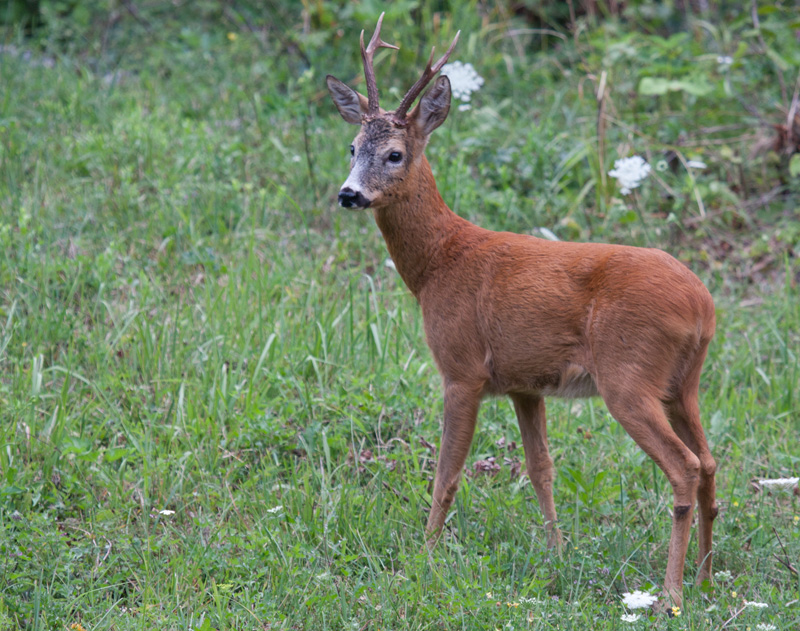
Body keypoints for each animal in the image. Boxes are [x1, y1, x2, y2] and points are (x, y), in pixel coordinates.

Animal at [324, 13, 720, 608]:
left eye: (394, 153)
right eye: (351, 147)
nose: (349, 194)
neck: (438, 264)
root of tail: (702, 304)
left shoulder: (461, 368)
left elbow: (448, 473)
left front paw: (424, 556)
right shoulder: (524, 383)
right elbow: (541, 469)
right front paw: (557, 553)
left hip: (629, 375)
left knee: (685, 467)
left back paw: (671, 593)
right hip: (682, 383)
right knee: (711, 461)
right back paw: (705, 577)